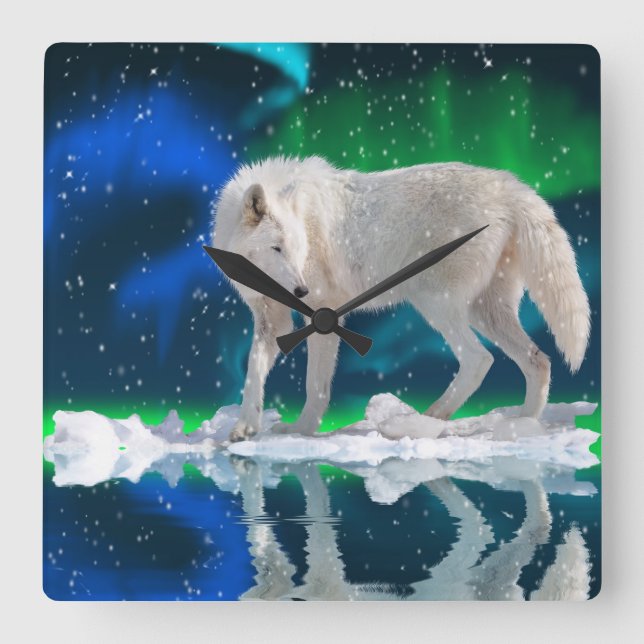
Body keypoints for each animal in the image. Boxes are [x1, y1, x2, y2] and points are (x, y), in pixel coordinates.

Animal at [212, 156, 590, 442]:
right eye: (277, 248)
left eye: (298, 248)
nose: (300, 291)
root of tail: (511, 185)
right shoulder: (272, 319)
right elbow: (253, 371)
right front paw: (245, 427)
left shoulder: (323, 312)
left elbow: (315, 385)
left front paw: (301, 431)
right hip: (485, 312)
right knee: (538, 360)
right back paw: (522, 427)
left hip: (433, 301)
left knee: (479, 359)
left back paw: (430, 419)